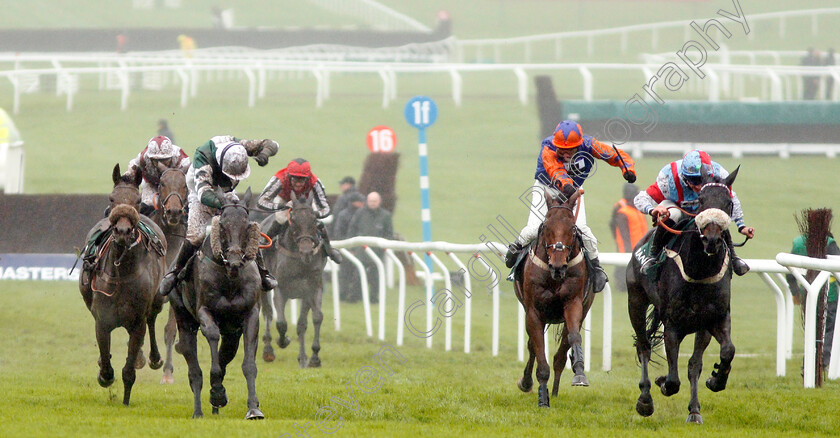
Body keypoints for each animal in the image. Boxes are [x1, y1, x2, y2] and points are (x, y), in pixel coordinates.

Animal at [80, 165, 167, 408]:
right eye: (112, 197)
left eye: (137, 200)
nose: (122, 231)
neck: (122, 272)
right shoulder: (103, 320)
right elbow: (105, 356)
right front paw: (104, 374)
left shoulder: (137, 322)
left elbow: (129, 367)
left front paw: (126, 399)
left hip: (157, 300)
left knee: (152, 319)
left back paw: (153, 358)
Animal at [260, 195, 328, 370]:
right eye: (294, 220)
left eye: (314, 220)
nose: (306, 251)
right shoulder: (280, 289)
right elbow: (281, 323)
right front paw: (282, 341)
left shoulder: (311, 289)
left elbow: (313, 319)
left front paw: (312, 357)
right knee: (268, 312)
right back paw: (268, 350)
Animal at [512, 188, 596, 408]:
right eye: (546, 226)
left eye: (573, 229)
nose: (558, 266)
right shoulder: (533, 312)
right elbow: (538, 351)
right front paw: (542, 398)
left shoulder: (574, 304)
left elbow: (574, 337)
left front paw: (580, 373)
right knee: (532, 346)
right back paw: (528, 382)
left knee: (561, 353)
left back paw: (557, 390)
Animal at [628, 169, 740, 424]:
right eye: (701, 201)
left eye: (728, 203)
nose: (711, 239)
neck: (699, 270)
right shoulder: (672, 324)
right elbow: (672, 380)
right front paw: (661, 383)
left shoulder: (715, 318)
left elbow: (725, 352)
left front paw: (716, 380)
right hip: (635, 301)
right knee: (644, 346)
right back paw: (645, 399)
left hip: (700, 327)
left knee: (693, 364)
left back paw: (695, 409)